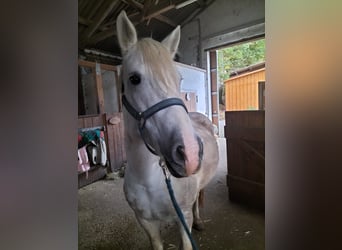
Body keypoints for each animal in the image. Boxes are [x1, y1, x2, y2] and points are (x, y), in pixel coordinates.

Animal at [117, 10, 219, 249]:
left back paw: (199, 221)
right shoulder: (146, 222)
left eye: (179, 79)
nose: (190, 153)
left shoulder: (183, 218)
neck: (149, 179)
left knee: (198, 199)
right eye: (134, 78)